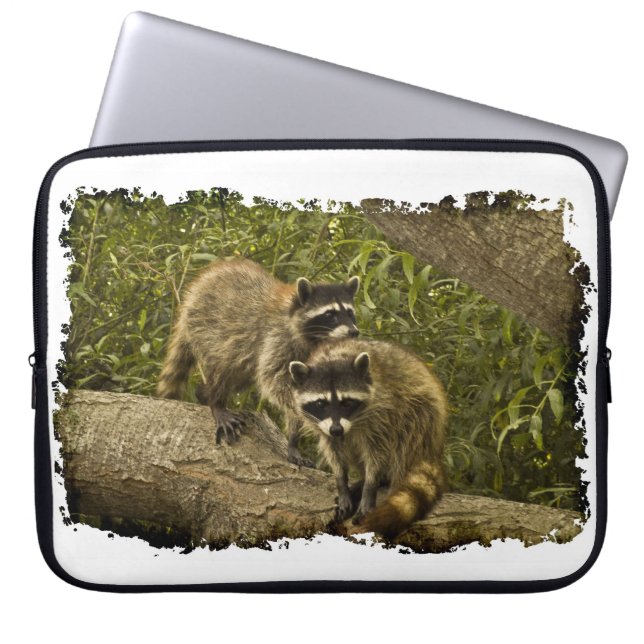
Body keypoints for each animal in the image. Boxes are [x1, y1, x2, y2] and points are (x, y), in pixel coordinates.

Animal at [157, 257, 360, 466]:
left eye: (350, 312)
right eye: (330, 314)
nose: (354, 332)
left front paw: (293, 439)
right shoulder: (277, 337)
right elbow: (275, 381)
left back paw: (203, 394)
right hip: (207, 325)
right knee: (223, 364)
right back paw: (216, 401)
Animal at [288, 338, 448, 538]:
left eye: (347, 402)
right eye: (320, 403)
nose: (337, 429)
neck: (333, 357)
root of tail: (435, 447)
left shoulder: (382, 413)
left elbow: (376, 454)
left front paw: (370, 486)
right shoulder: (323, 426)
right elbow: (334, 452)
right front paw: (342, 483)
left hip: (422, 413)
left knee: (406, 440)